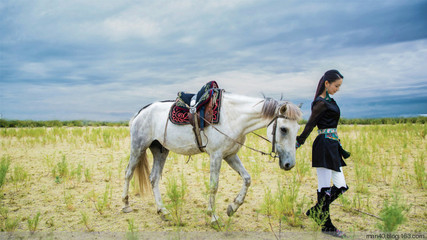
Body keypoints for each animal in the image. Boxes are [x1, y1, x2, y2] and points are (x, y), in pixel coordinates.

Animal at [122, 91, 302, 224]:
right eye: (284, 129)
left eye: (297, 129)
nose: (290, 164)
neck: (233, 117)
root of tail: (140, 112)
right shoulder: (216, 156)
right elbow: (214, 186)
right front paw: (213, 217)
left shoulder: (230, 155)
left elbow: (247, 179)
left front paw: (232, 207)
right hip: (138, 147)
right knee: (128, 173)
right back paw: (125, 205)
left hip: (160, 150)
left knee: (154, 178)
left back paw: (163, 211)